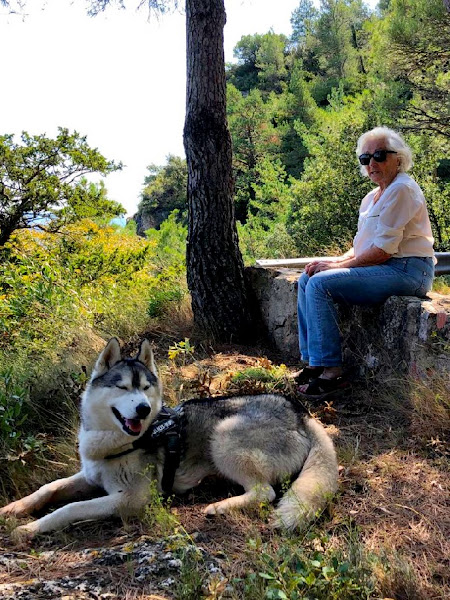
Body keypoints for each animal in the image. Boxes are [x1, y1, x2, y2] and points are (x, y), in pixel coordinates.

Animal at [0, 338, 338, 540]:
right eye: (123, 388)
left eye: (146, 388)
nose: (143, 408)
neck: (114, 441)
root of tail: (301, 412)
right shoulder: (90, 475)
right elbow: (49, 489)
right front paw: (13, 509)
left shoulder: (132, 498)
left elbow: (69, 508)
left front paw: (29, 528)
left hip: (223, 436)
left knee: (264, 492)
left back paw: (220, 507)